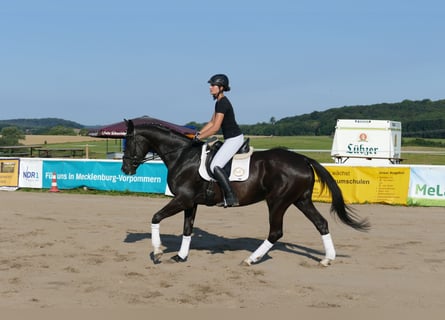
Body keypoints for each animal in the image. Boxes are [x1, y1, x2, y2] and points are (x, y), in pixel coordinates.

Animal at [120, 119, 368, 266]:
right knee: (321, 223)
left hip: (278, 202)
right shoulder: (190, 202)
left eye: (128, 141)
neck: (182, 155)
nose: (125, 169)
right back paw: (327, 259)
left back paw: (251, 259)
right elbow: (187, 229)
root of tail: (303, 159)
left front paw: (157, 252)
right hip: (301, 200)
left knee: (276, 232)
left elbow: (156, 217)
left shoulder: (183, 199)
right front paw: (180, 256)